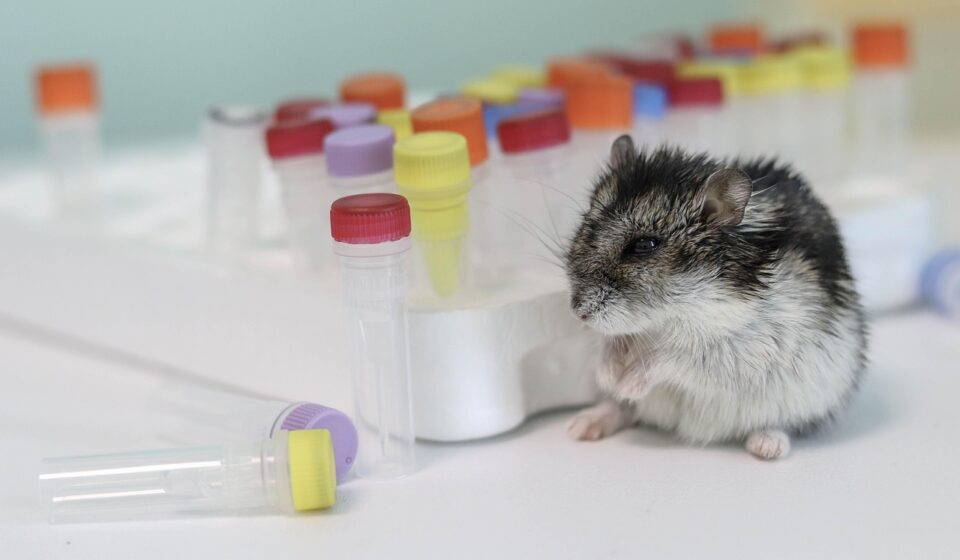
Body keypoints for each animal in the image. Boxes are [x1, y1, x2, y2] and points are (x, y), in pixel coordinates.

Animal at [565, 136, 867, 460]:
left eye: (644, 245)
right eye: (586, 224)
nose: (578, 313)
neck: (670, 314)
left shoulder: (741, 347)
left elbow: (669, 356)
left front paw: (627, 384)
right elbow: (609, 341)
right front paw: (608, 377)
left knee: (784, 423)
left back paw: (766, 447)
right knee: (626, 411)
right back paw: (582, 425)